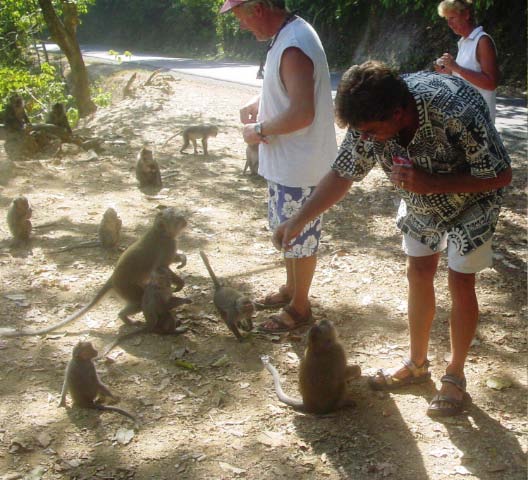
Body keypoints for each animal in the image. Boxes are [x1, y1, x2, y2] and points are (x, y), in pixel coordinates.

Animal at [0, 208, 188, 337]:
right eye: (177, 219)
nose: (185, 219)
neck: (161, 231)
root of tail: (113, 278)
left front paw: (182, 259)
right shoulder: (167, 244)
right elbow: (161, 268)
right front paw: (179, 283)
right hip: (125, 287)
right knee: (138, 301)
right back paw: (124, 317)